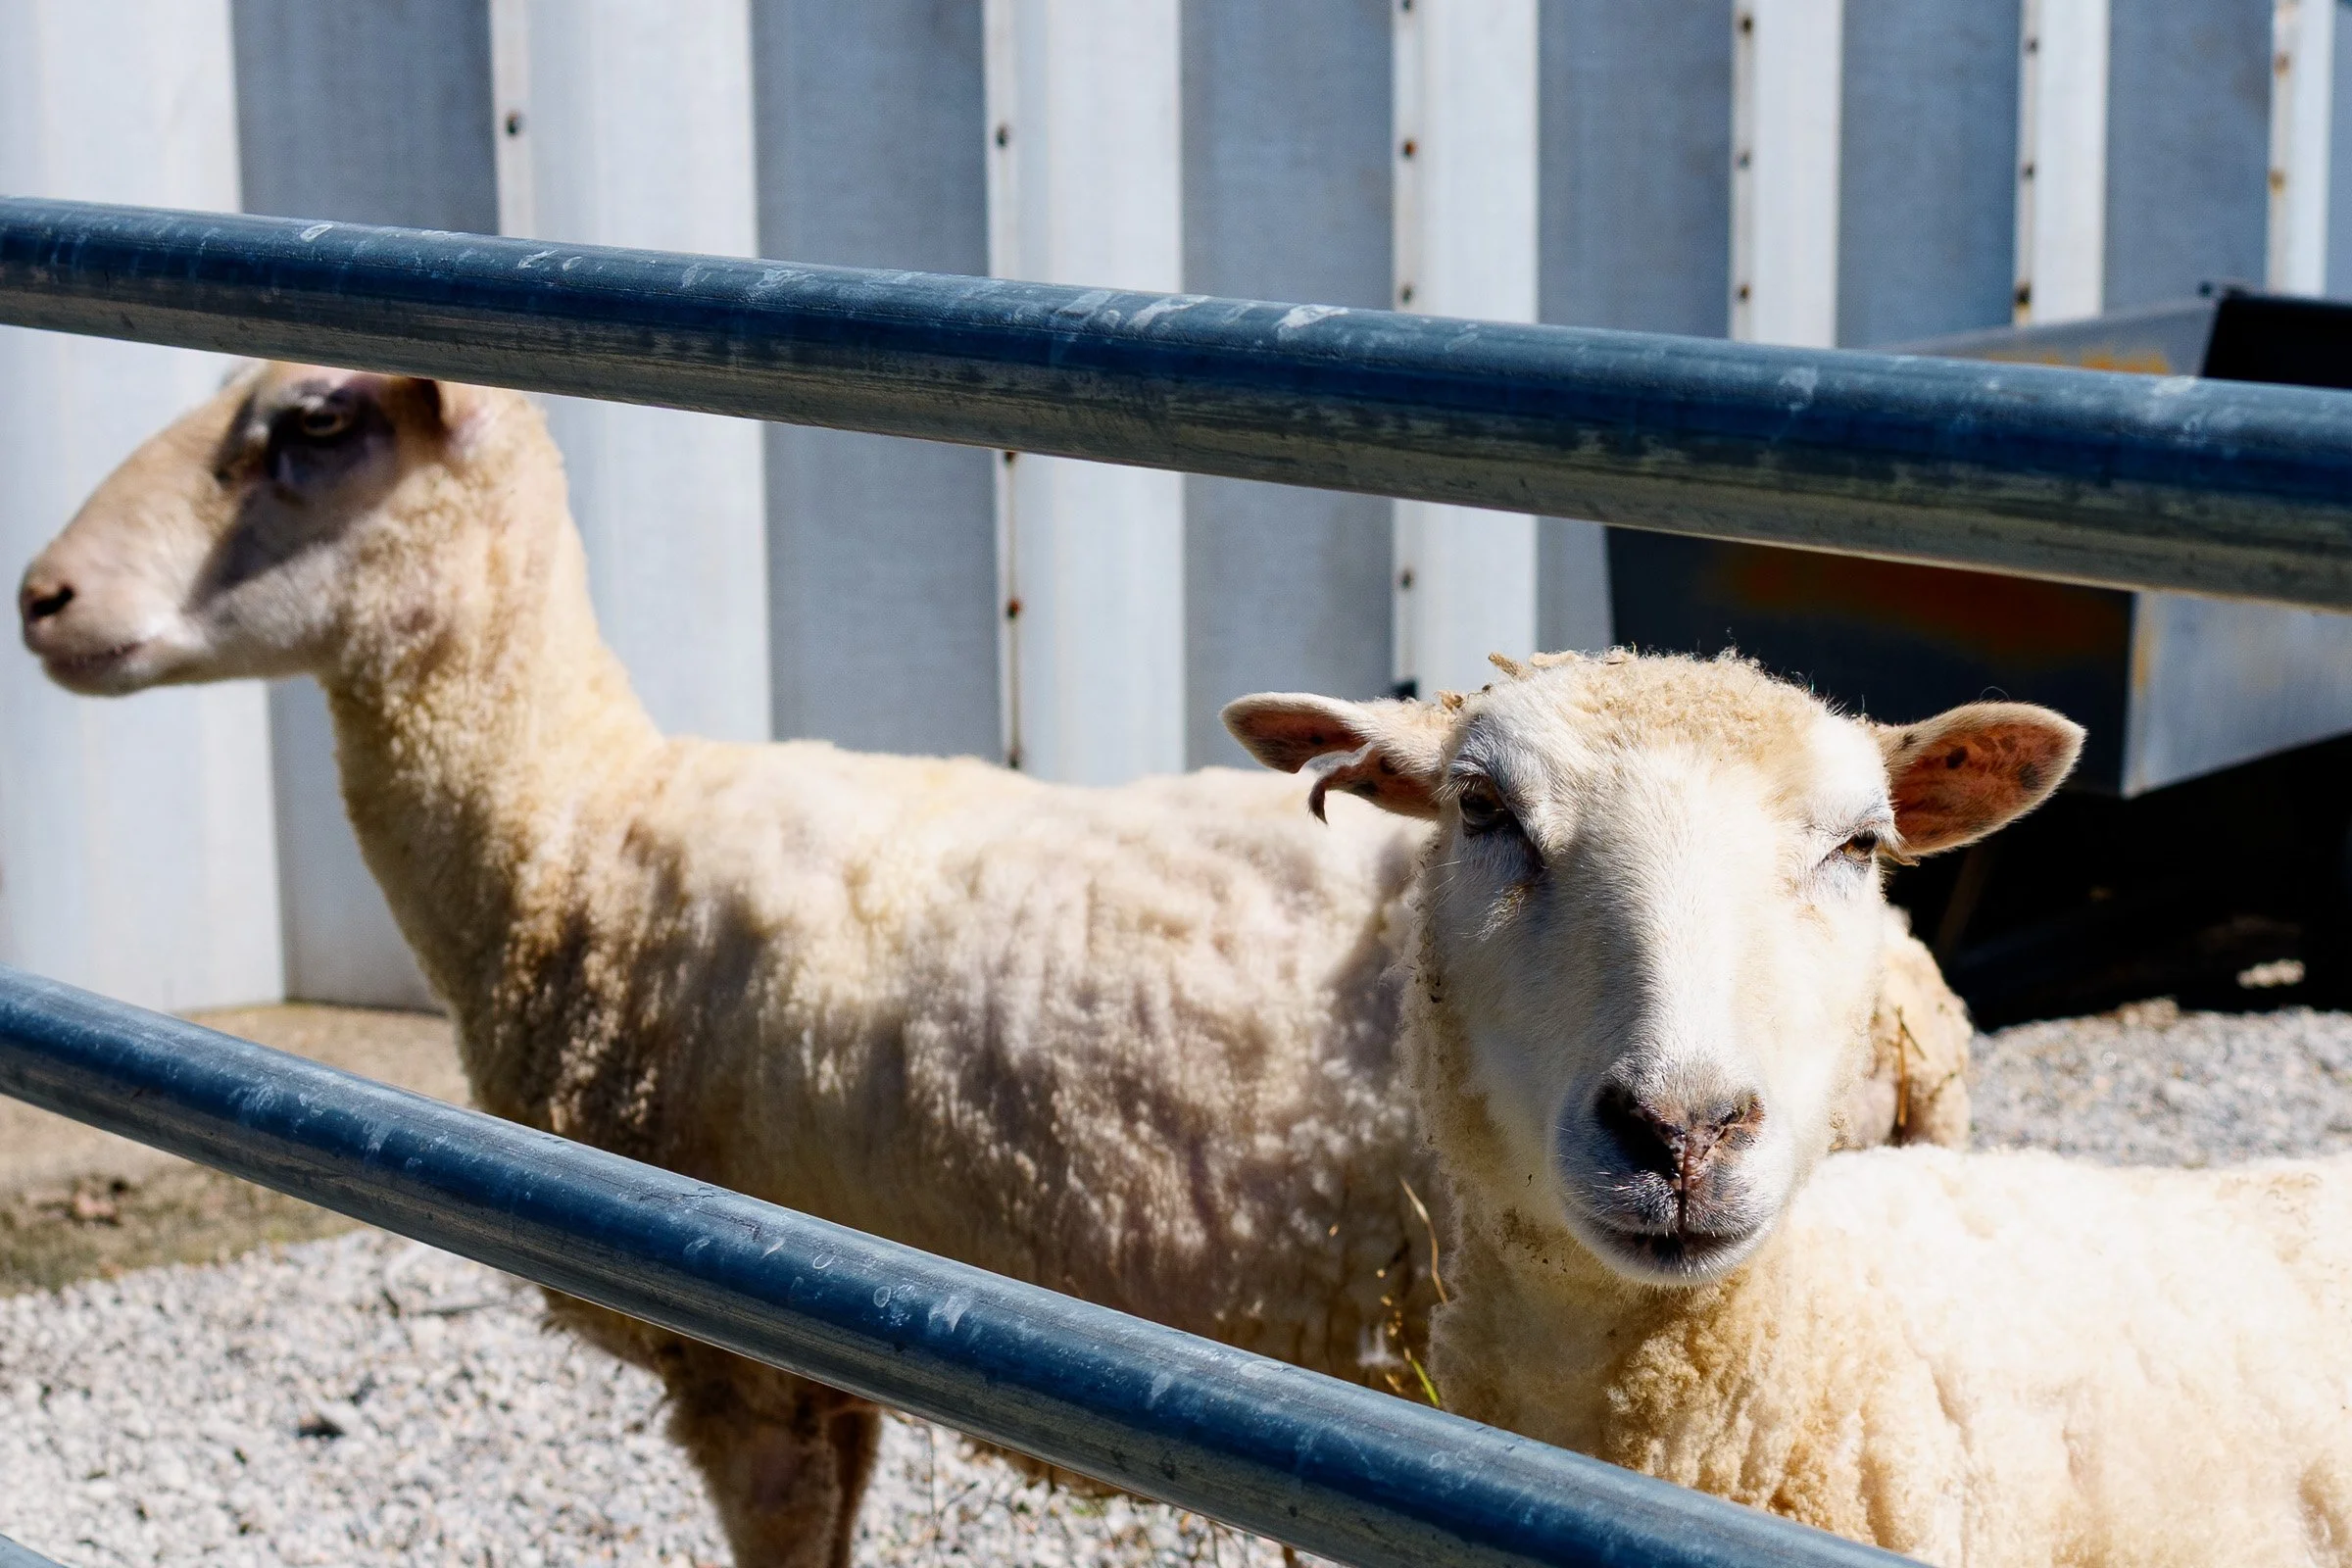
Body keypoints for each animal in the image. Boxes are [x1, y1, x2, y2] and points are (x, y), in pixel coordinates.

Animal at [22, 364, 1969, 1567]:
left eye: (306, 425)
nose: (40, 597)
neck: (582, 829)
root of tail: (1915, 1003)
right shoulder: (831, 1347)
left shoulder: (741, 1360)